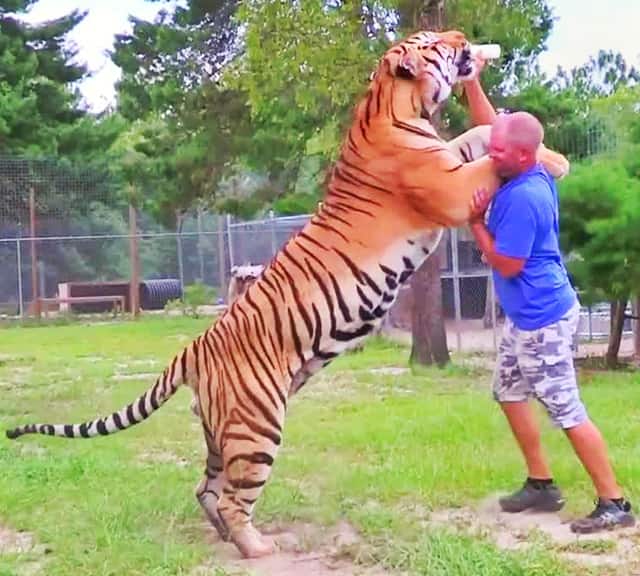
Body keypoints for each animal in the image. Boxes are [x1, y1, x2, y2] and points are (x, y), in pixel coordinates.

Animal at [6, 29, 568, 560]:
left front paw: (551, 156)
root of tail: (193, 348)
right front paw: (540, 152)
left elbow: (476, 135)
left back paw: (227, 537)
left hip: (220, 432)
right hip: (256, 426)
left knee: (206, 490)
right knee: (234, 499)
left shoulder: (448, 156)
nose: (461, 38)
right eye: (434, 43)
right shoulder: (450, 188)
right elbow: (486, 154)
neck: (394, 103)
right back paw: (256, 547)